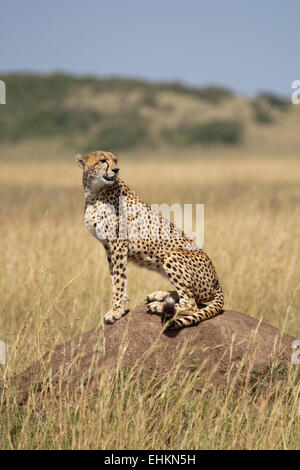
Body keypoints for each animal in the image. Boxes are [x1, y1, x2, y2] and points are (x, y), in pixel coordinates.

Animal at [76, 152, 224, 328]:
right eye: (103, 160)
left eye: (115, 160)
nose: (116, 169)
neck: (94, 191)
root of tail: (217, 281)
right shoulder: (108, 245)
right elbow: (115, 276)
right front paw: (121, 303)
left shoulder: (118, 242)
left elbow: (119, 277)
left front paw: (116, 311)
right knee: (191, 297)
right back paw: (160, 295)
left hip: (172, 254)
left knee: (192, 304)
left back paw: (158, 305)